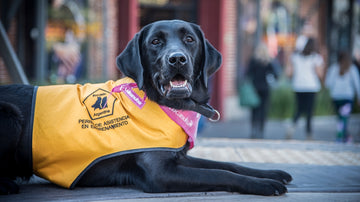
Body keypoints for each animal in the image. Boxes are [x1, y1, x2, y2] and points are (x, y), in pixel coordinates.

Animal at [0, 20, 292, 196]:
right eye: (155, 42)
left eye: (189, 39)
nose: (177, 59)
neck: (167, 105)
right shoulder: (160, 172)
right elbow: (219, 173)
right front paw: (264, 184)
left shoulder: (178, 157)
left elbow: (227, 164)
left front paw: (270, 173)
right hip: (10, 114)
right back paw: (9, 184)